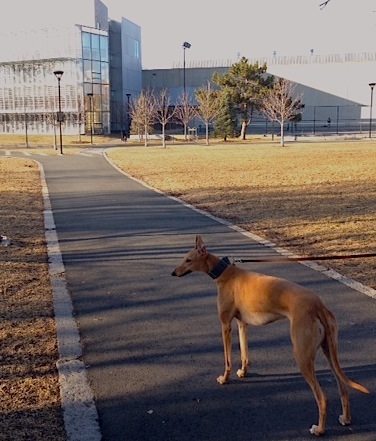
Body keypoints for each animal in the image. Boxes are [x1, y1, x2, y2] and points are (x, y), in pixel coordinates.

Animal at [171, 235, 370, 434]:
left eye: (188, 260)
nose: (173, 273)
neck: (224, 272)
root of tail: (318, 306)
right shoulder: (242, 324)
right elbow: (244, 354)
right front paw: (243, 372)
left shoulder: (226, 325)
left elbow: (227, 360)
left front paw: (224, 379)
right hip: (329, 350)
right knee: (343, 389)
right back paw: (345, 418)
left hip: (302, 356)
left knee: (322, 398)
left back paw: (319, 429)